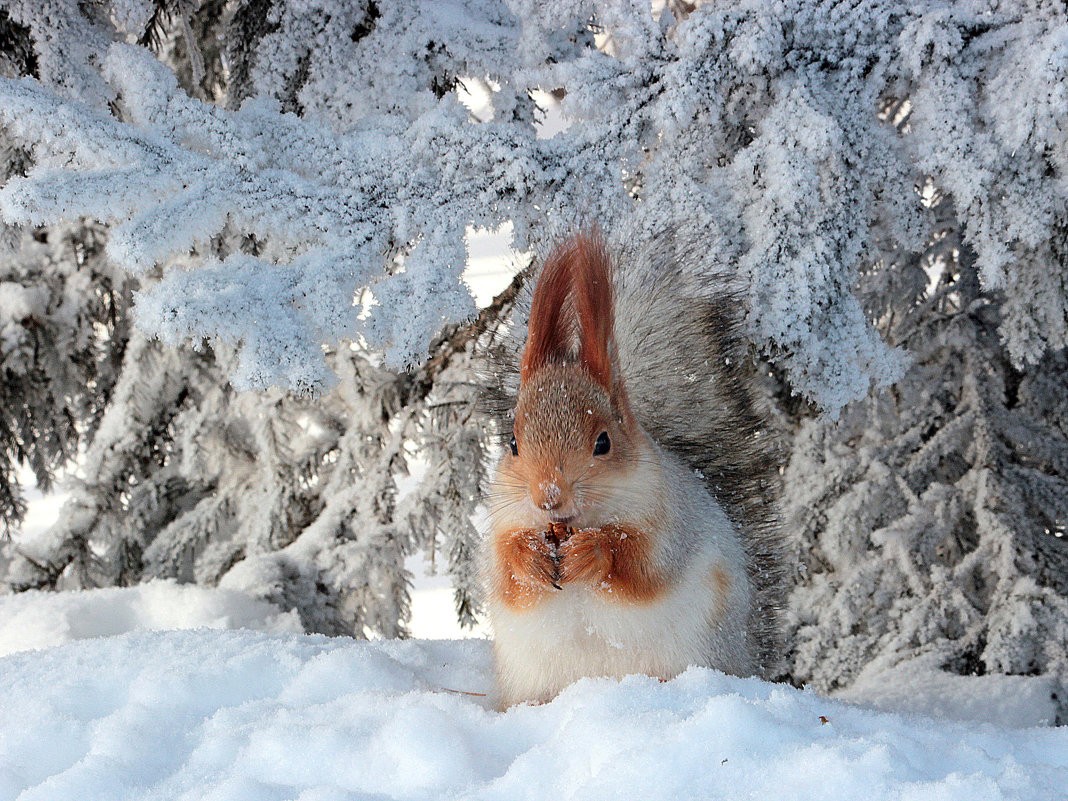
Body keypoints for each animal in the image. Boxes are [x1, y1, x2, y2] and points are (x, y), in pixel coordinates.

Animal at [484, 230, 786, 709]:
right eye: (513, 443)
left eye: (603, 442)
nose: (548, 496)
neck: (578, 520)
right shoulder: (502, 520)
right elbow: (507, 575)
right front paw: (529, 556)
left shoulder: (668, 522)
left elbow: (641, 566)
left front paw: (593, 552)